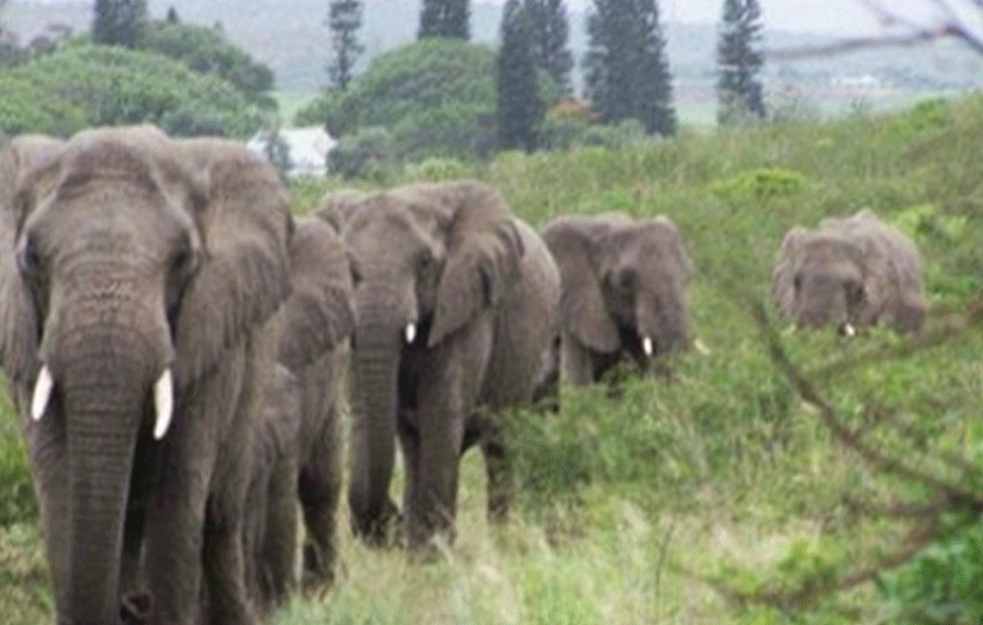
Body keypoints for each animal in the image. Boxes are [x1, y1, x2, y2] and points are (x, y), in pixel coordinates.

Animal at [0, 127, 296, 624]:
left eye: (183, 259)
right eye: (31, 258)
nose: (132, 607)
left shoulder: (209, 338)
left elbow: (179, 491)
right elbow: (58, 482)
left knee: (219, 519)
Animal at [320, 179, 556, 552]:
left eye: (425, 262)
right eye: (346, 266)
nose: (392, 521)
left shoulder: (467, 305)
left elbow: (439, 411)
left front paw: (434, 555)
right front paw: (423, 550)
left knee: (498, 444)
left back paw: (500, 541)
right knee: (414, 444)